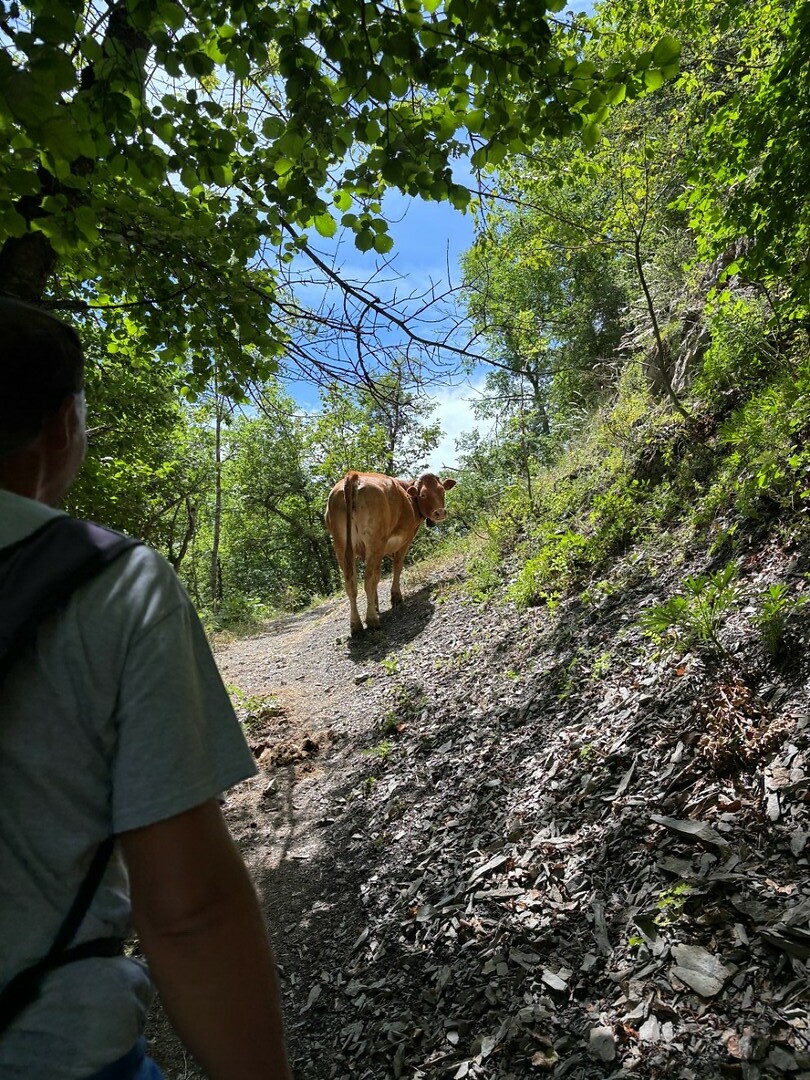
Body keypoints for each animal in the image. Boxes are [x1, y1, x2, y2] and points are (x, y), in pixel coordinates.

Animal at [325, 470, 456, 636]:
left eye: (442, 490)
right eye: (423, 494)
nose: (440, 512)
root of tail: (353, 476)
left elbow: (377, 576)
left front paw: (375, 604)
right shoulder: (405, 540)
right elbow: (397, 567)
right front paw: (395, 597)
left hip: (341, 545)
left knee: (351, 583)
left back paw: (356, 625)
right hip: (375, 541)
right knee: (368, 579)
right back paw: (372, 620)